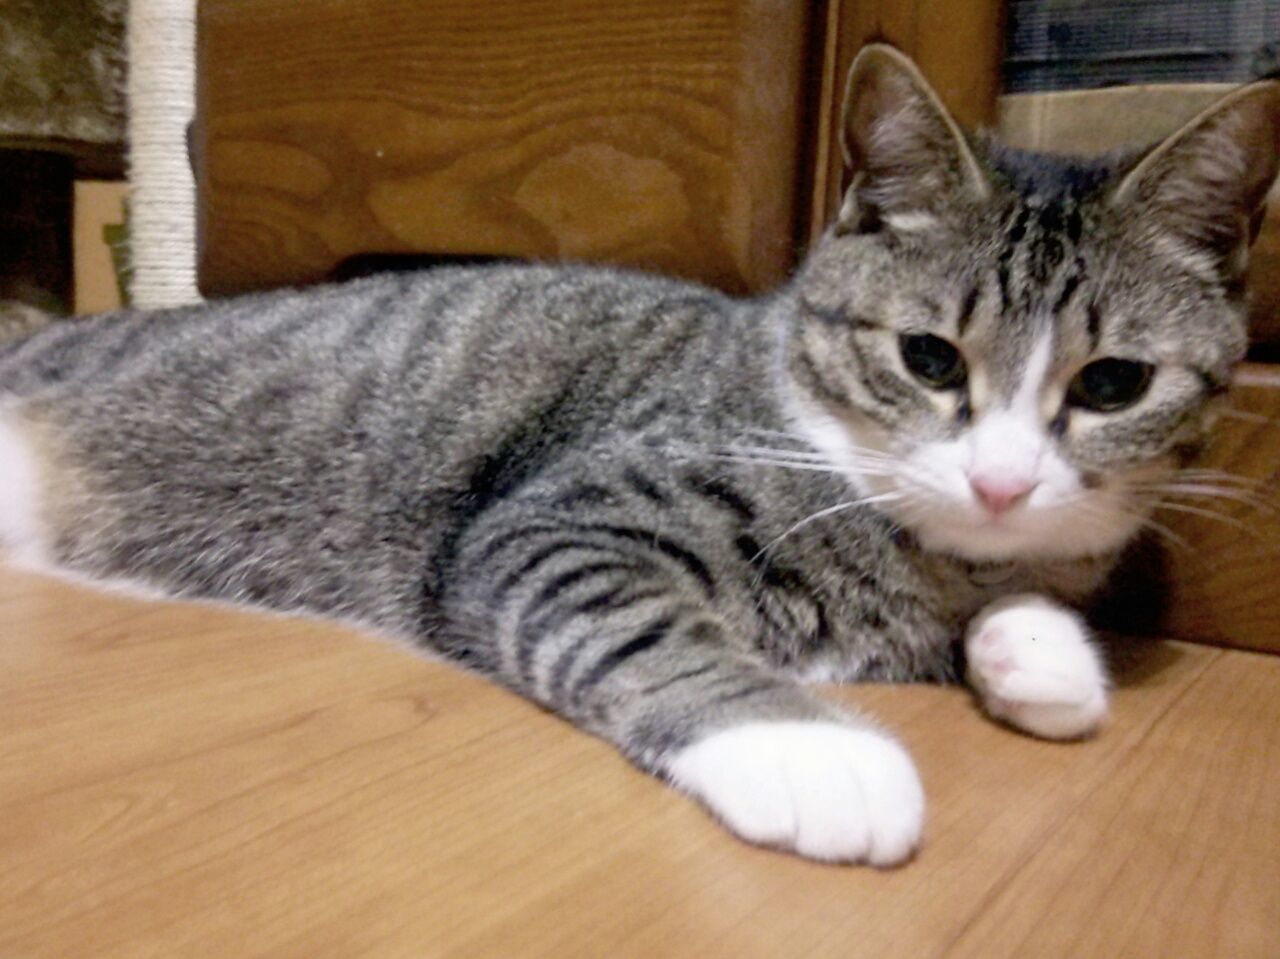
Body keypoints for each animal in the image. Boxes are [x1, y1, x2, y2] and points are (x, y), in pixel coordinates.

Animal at [2, 44, 1280, 865]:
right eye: (926, 358)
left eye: (1111, 383)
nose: (1001, 481)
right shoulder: (562, 517)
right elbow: (644, 623)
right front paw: (813, 749)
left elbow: (1026, 607)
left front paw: (1038, 649)